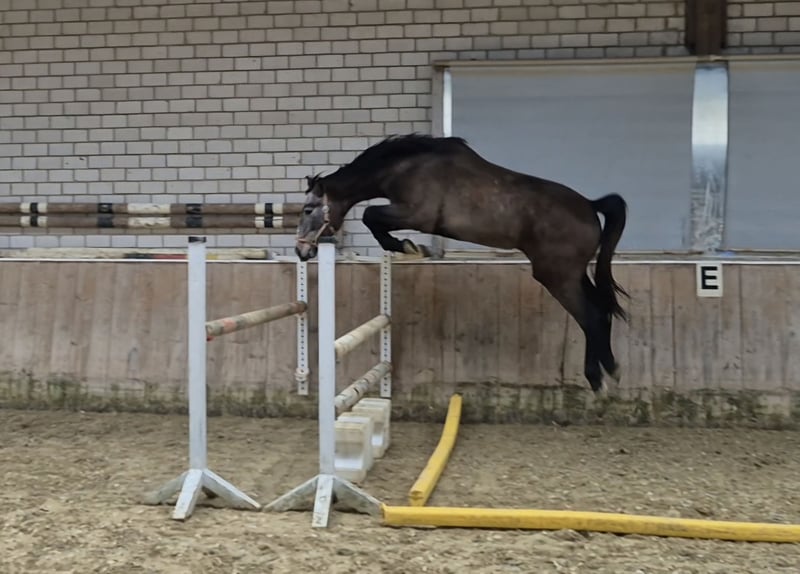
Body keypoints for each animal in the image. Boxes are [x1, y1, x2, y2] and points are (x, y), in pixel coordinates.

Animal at [295, 133, 629, 394]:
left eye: (309, 209)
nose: (301, 251)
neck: (408, 167)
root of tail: (590, 206)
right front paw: (411, 247)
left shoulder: (416, 214)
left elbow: (371, 216)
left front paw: (408, 246)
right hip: (575, 274)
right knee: (601, 311)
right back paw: (610, 369)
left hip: (557, 277)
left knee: (590, 318)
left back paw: (598, 378)